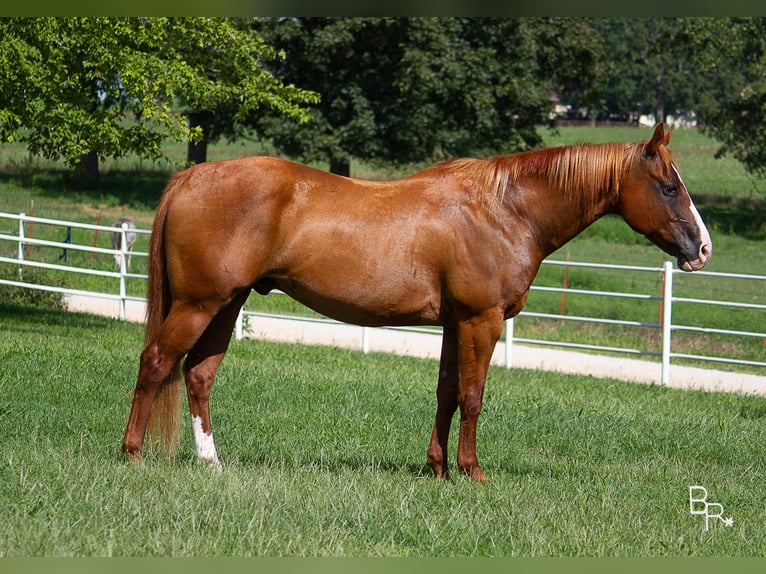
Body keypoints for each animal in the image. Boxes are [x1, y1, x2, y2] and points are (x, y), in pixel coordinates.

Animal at [121, 125, 712, 482]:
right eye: (668, 187)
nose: (702, 249)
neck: (505, 210)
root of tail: (192, 175)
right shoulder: (481, 321)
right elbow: (473, 397)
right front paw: (472, 472)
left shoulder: (455, 324)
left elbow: (446, 393)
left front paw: (437, 469)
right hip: (199, 303)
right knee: (156, 363)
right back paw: (132, 455)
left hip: (226, 304)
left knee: (198, 374)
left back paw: (212, 462)